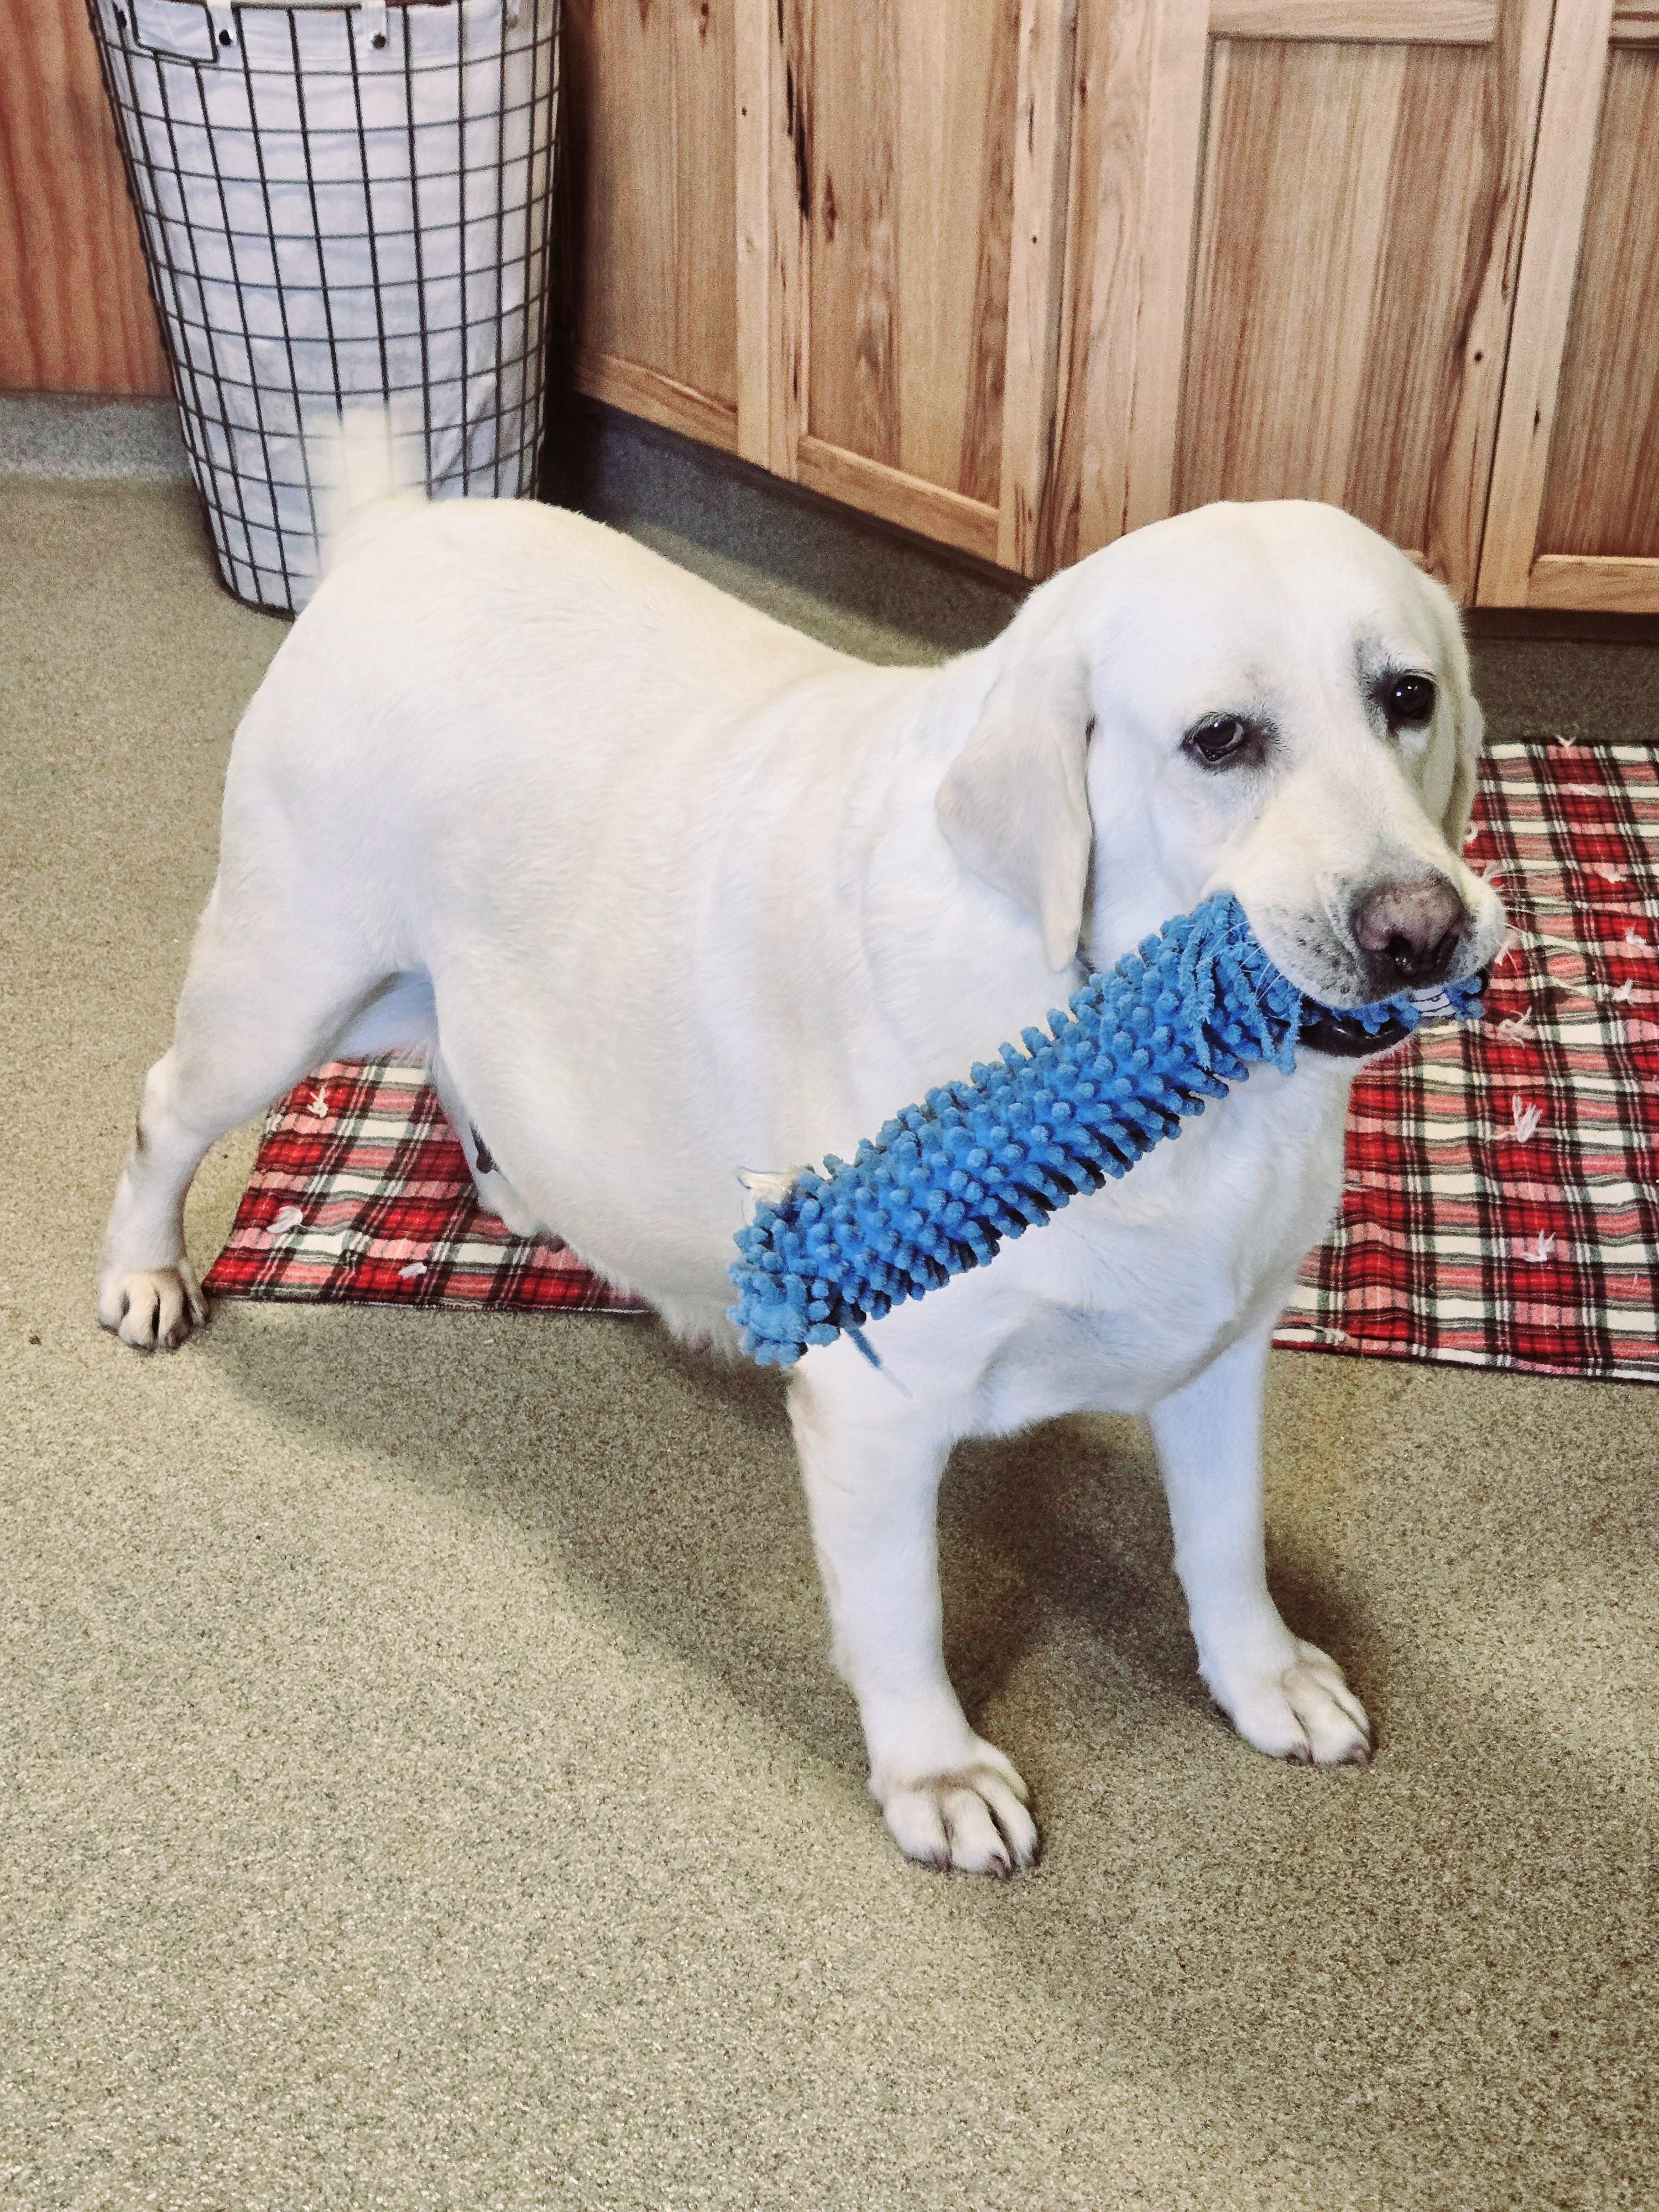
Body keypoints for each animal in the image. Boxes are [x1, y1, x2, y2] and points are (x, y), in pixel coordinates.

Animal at [99, 438, 1505, 1875]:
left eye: (1406, 695)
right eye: (1220, 739)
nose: (1421, 928)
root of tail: (393, 527)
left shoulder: (1221, 1345)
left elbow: (1224, 1542)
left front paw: (1264, 1678)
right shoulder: (877, 1406)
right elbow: (903, 1618)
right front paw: (937, 1774)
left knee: (456, 1050)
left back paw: (513, 1187)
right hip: (291, 989)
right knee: (164, 1109)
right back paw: (146, 1276)